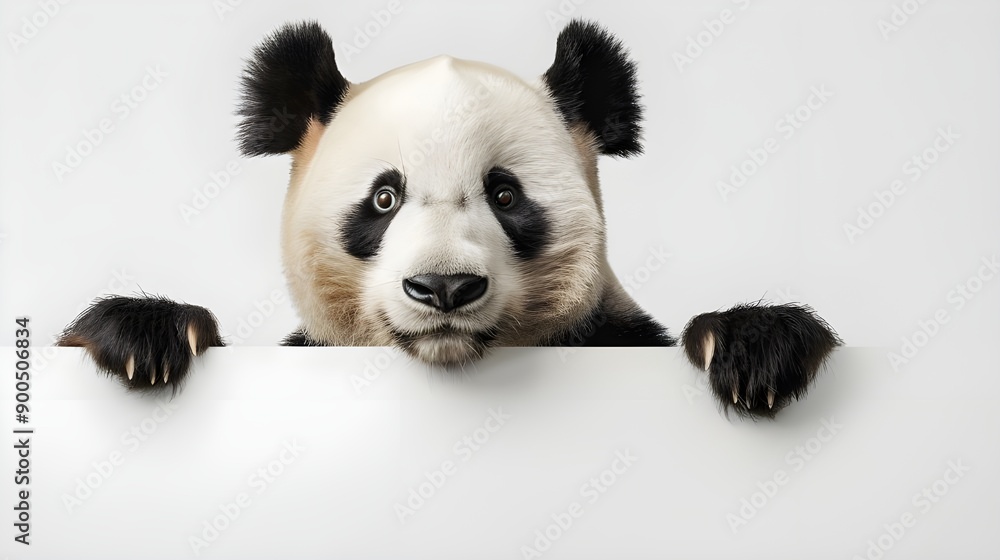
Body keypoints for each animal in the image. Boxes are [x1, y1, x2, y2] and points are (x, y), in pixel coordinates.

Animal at [58, 19, 841, 419]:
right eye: (384, 199)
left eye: (505, 195)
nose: (443, 289)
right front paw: (147, 334)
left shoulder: (606, 334)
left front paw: (754, 347)